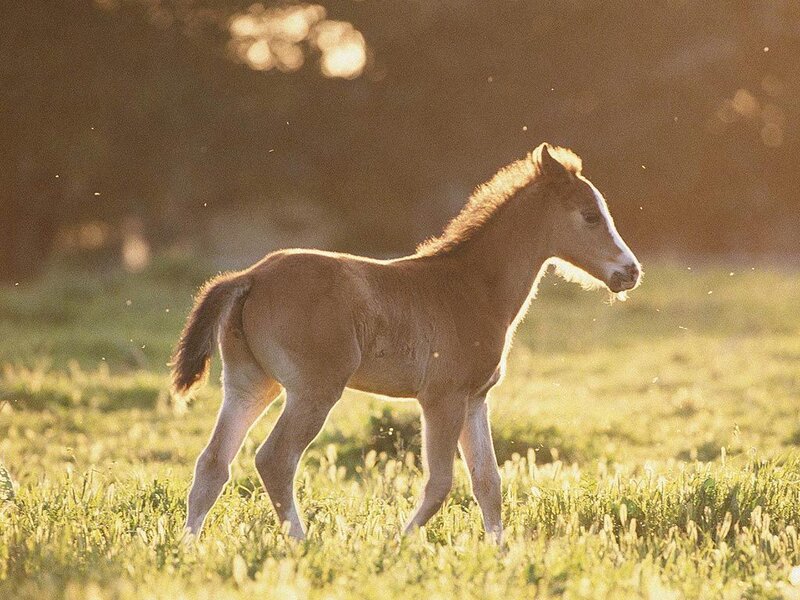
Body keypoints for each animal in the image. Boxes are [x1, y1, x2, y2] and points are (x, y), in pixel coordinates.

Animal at [172, 143, 641, 541]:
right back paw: (300, 542)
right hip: (314, 390)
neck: (471, 287)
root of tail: (250, 276)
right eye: (590, 215)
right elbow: (441, 483)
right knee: (274, 459)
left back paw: (189, 546)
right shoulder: (442, 397)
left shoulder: (475, 399)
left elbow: (488, 481)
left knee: (213, 463)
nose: (630, 271)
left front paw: (501, 554)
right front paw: (397, 544)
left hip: (250, 384)